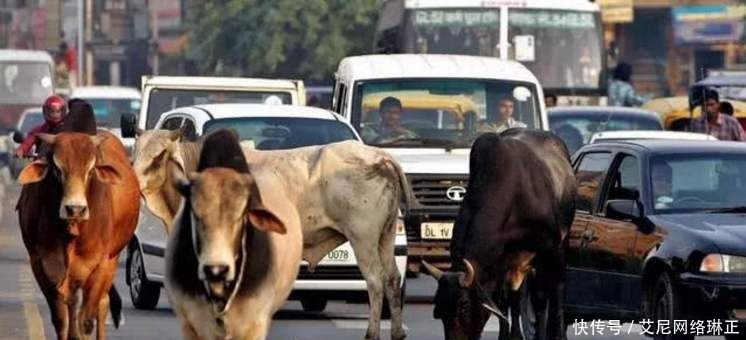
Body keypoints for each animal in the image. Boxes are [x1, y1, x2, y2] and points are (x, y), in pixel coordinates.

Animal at [17, 131, 140, 340]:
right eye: (57, 170)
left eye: (90, 171)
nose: (75, 209)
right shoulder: (41, 265)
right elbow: (61, 321)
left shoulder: (100, 266)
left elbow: (86, 322)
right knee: (73, 304)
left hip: (111, 261)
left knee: (102, 305)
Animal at [422, 129, 572, 340]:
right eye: (439, 310)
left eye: (464, 305)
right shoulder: (501, 263)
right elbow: (504, 301)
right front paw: (508, 336)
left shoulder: (548, 248)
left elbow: (543, 294)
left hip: (559, 246)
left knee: (553, 289)